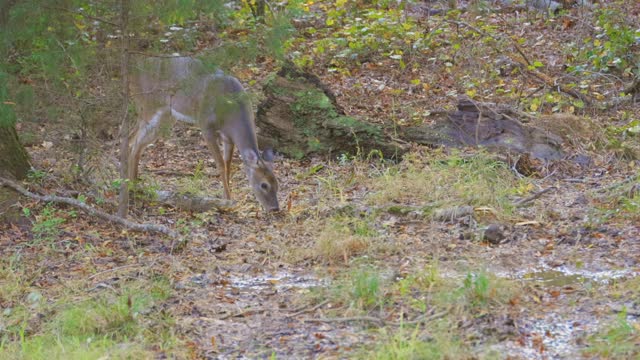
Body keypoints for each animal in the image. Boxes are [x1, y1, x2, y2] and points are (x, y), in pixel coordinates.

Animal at [129, 56, 278, 211]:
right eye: (264, 185)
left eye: (277, 184)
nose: (275, 208)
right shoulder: (205, 125)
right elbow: (220, 164)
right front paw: (228, 200)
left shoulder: (227, 137)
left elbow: (228, 164)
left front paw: (226, 195)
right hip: (147, 104)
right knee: (134, 141)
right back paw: (132, 185)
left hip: (166, 116)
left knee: (133, 140)